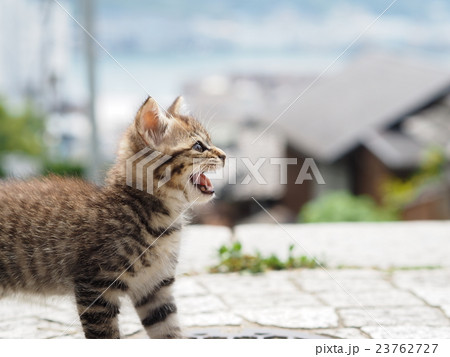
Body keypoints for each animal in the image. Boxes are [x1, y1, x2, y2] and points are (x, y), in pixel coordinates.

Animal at [0, 96, 225, 336]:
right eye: (199, 146)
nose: (224, 155)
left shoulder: (155, 286)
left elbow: (169, 331)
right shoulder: (95, 287)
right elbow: (106, 336)